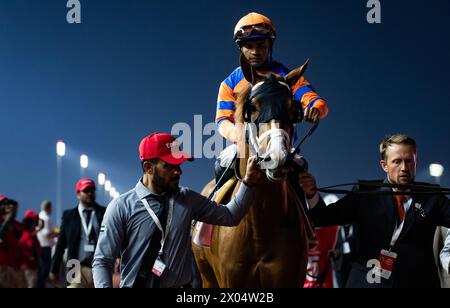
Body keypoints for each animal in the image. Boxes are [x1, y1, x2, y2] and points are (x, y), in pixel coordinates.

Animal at [193, 56, 316, 288]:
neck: (260, 229)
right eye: (253, 107)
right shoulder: (230, 280)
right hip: (206, 276)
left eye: (294, 108)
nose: (277, 158)